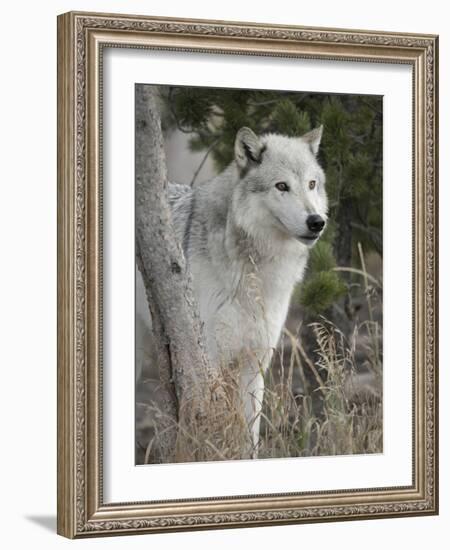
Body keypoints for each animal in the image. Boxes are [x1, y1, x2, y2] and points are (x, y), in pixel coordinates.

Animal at [136, 127, 326, 460]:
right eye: (282, 186)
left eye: (311, 184)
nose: (317, 222)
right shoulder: (211, 357)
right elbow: (215, 417)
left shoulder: (256, 360)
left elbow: (251, 432)